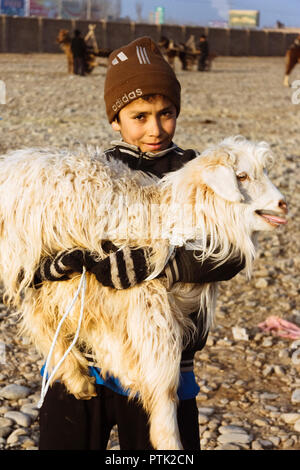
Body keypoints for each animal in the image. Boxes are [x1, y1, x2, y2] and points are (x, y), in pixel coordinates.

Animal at [0, 135, 288, 448]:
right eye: (242, 176)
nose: (283, 204)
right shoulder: (148, 302)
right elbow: (164, 380)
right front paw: (168, 439)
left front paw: (121, 372)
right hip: (26, 256)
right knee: (36, 315)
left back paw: (78, 379)